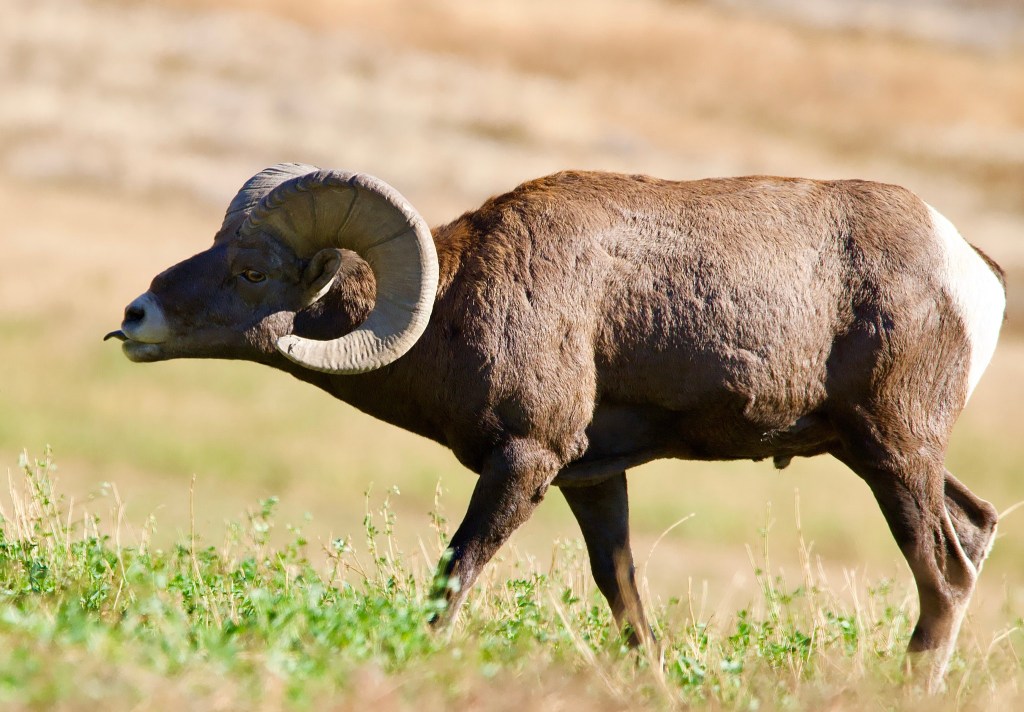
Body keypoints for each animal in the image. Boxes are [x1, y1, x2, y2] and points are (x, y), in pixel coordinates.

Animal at [106, 164, 1006, 691]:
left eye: (251, 271)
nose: (135, 317)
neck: (455, 304)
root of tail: (972, 270)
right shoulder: (594, 478)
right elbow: (626, 600)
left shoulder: (524, 461)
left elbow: (456, 575)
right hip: (875, 453)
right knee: (977, 527)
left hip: (895, 455)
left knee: (946, 577)